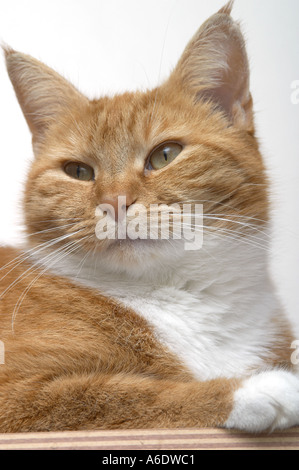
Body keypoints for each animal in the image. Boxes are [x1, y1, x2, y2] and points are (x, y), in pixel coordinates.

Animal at [0, 1, 299, 432]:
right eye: (78, 171)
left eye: (165, 154)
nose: (115, 201)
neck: (182, 294)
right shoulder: (15, 395)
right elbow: (125, 394)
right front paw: (254, 389)